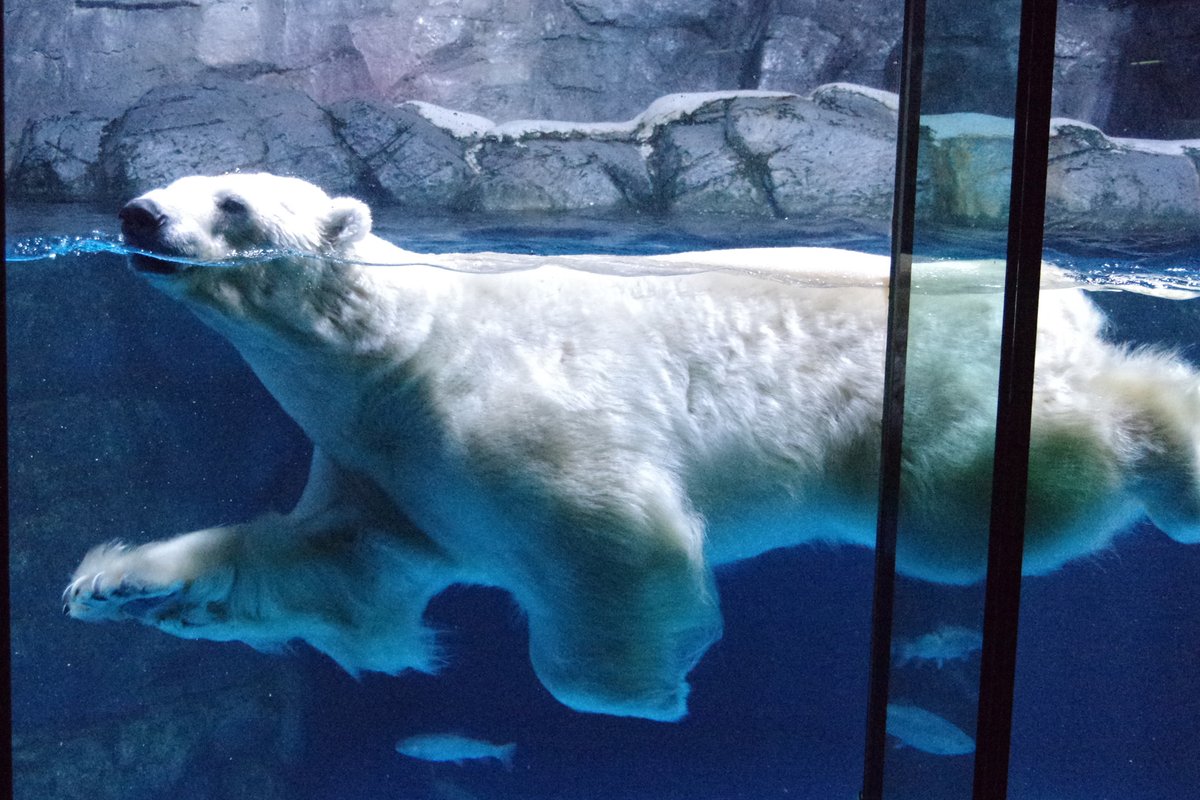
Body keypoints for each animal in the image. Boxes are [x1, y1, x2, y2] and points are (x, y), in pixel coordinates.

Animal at [63, 172, 1200, 722]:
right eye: (171, 175)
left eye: (232, 199)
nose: (139, 211)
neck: (394, 345)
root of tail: (1056, 293)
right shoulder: (382, 468)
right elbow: (338, 572)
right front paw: (122, 583)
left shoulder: (493, 401)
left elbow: (609, 529)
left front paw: (637, 686)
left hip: (925, 393)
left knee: (992, 490)